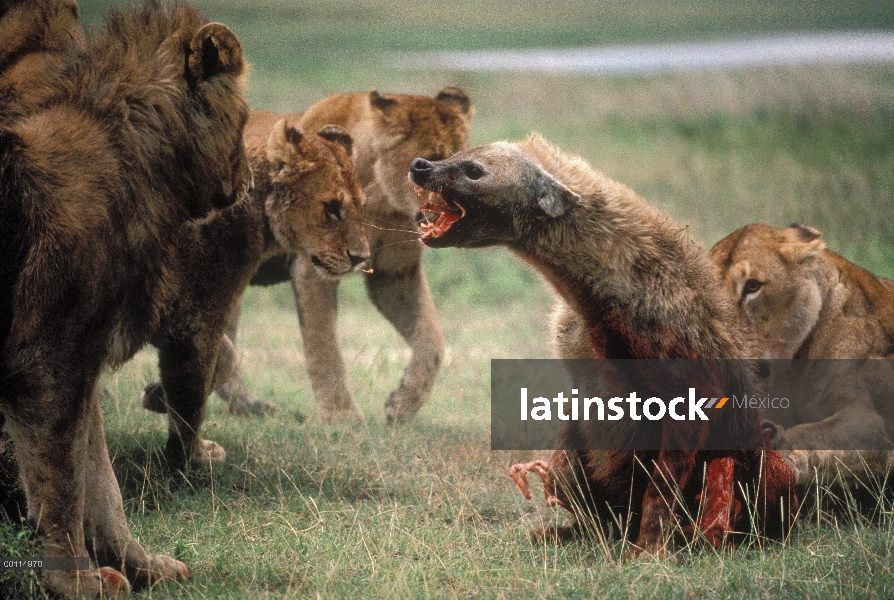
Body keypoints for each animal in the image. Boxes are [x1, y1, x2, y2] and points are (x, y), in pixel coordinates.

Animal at [0, 2, 248, 596]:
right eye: (246, 120)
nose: (251, 176)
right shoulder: (46, 362)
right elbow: (65, 484)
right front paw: (75, 581)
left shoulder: (80, 355)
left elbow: (100, 484)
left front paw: (139, 566)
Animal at [138, 118, 370, 464]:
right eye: (332, 208)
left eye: (361, 207)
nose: (362, 258)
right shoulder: (195, 319)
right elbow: (191, 398)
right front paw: (192, 456)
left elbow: (227, 357)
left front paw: (155, 395)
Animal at [221, 88, 476, 422]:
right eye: (431, 161)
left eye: (469, 167)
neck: (388, 207)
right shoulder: (314, 270)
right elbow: (324, 348)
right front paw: (342, 418)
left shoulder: (394, 275)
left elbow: (432, 340)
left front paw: (402, 404)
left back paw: (249, 407)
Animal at [410, 135, 796, 552]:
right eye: (456, 155)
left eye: (474, 170)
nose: (420, 165)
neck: (600, 305)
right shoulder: (572, 347)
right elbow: (573, 446)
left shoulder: (691, 381)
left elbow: (662, 484)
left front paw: (646, 553)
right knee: (590, 508)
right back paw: (557, 532)